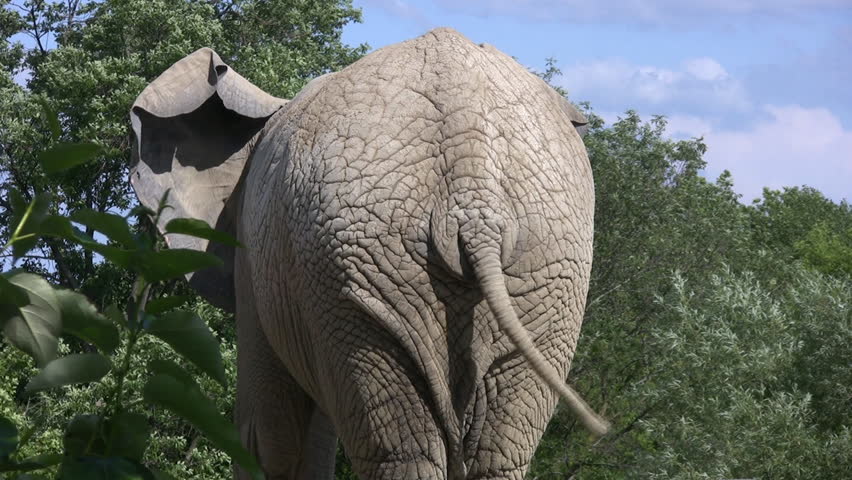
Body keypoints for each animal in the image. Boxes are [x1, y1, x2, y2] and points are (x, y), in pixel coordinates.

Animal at [129, 27, 607, 480]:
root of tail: (469, 172)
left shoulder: (254, 257)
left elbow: (264, 435)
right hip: (526, 267)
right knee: (486, 454)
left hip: (357, 261)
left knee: (399, 451)